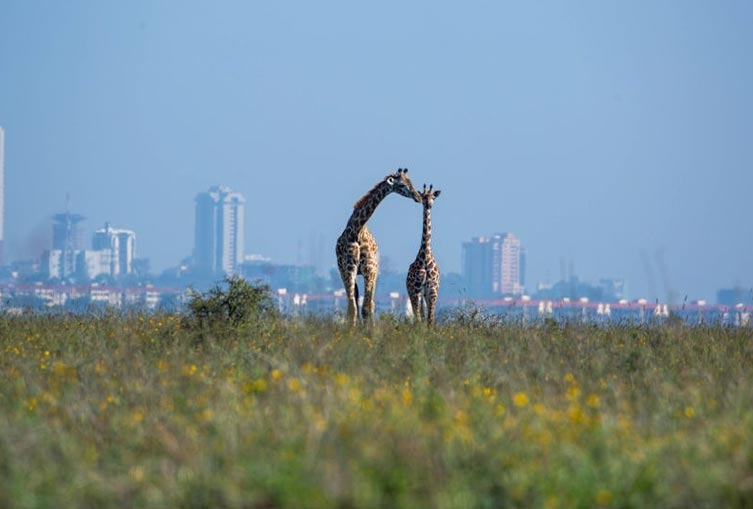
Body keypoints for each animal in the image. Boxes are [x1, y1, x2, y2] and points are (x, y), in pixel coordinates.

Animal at [336, 169, 420, 324]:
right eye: (402, 185)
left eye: (411, 182)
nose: (418, 197)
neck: (356, 230)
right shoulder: (347, 269)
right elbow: (353, 309)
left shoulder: (369, 269)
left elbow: (366, 308)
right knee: (357, 302)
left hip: (374, 272)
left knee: (370, 303)